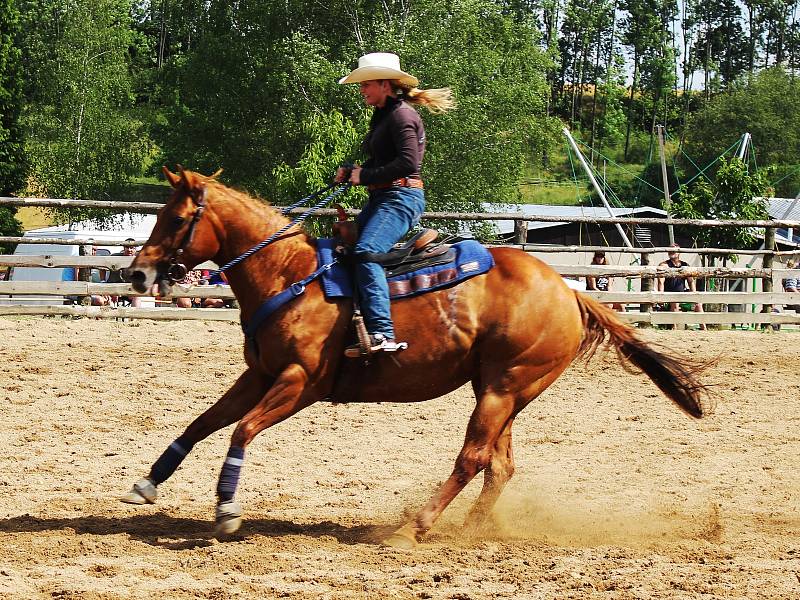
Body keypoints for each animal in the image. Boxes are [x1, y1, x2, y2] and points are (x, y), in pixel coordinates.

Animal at [120, 165, 708, 548]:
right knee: (499, 464)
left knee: (472, 458)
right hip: (501, 389)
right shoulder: (259, 373)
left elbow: (241, 430)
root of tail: (569, 290)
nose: (138, 275)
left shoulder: (300, 382)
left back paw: (414, 527)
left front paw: (226, 512)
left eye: (177, 219)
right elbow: (202, 423)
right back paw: (468, 531)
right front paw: (146, 484)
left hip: (504, 387)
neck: (288, 274)